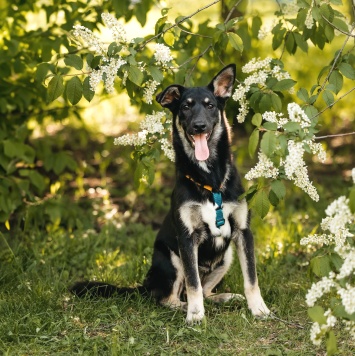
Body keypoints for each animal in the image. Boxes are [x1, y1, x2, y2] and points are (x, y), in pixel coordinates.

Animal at [72, 64, 272, 322]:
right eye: (186, 106)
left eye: (210, 105)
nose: (199, 126)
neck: (209, 179)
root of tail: (145, 284)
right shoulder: (187, 239)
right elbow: (193, 283)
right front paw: (195, 316)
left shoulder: (243, 232)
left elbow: (251, 278)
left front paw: (259, 308)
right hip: (172, 259)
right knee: (168, 297)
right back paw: (184, 306)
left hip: (225, 257)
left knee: (204, 291)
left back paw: (225, 298)